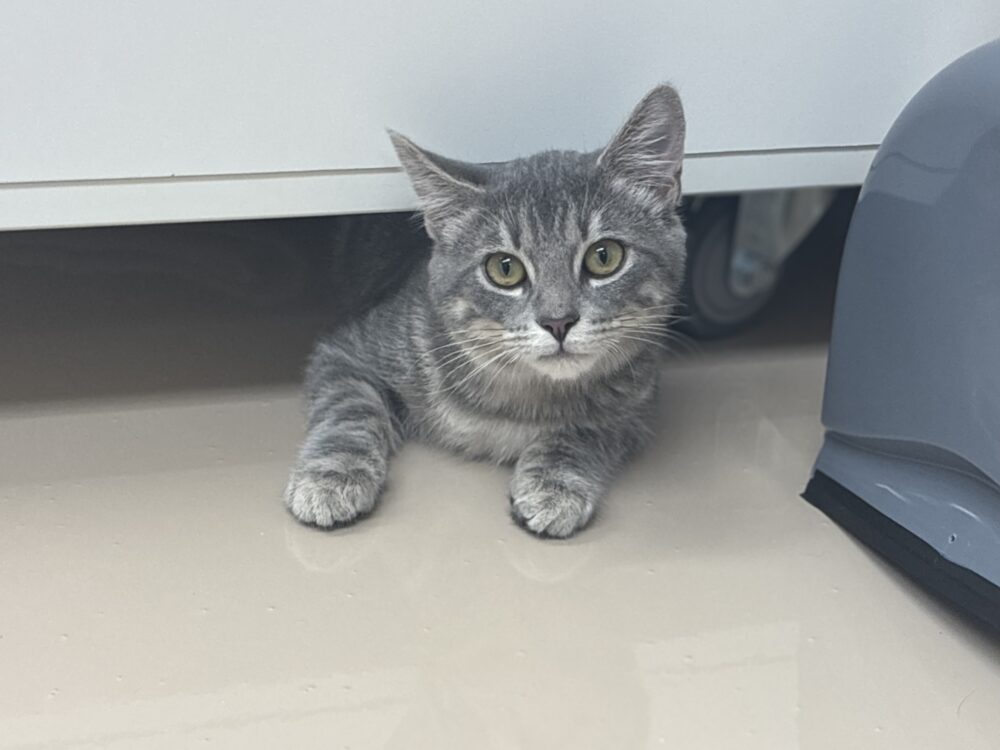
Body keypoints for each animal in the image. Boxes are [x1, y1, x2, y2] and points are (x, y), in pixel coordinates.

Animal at [285, 85, 686, 538]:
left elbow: (589, 427)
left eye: (604, 257)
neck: (521, 395)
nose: (558, 321)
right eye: (504, 269)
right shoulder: (347, 351)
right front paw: (331, 476)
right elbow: (350, 408)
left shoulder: (639, 402)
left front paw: (555, 482)